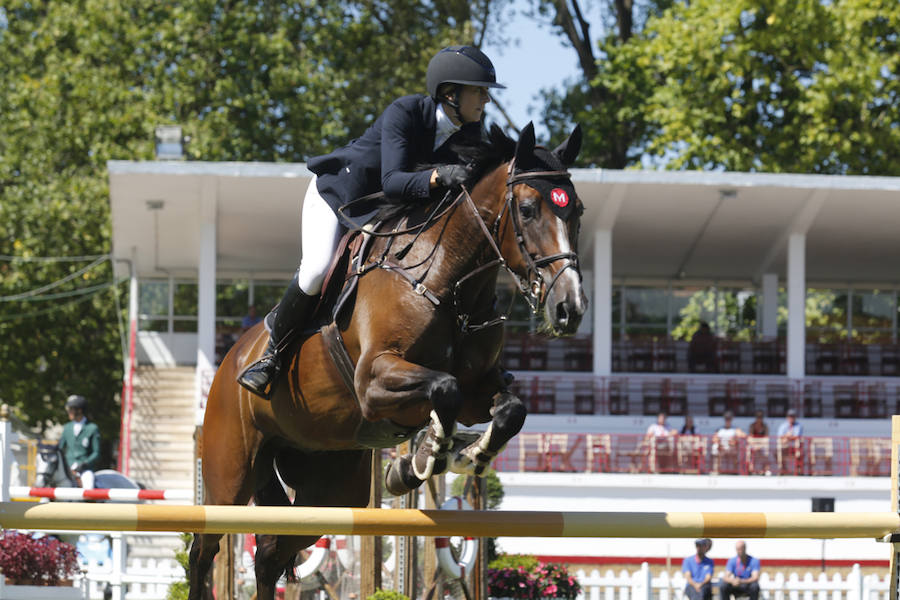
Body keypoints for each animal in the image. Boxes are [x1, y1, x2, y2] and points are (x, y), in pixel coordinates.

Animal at [186, 122, 588, 600]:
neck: (448, 282)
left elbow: (509, 408)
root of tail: (231, 359)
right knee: (203, 550)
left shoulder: (479, 390)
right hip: (228, 475)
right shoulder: (374, 381)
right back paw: (261, 370)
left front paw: (466, 454)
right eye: (527, 209)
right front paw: (421, 460)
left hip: (330, 490)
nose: (569, 309)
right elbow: (444, 388)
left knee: (270, 553)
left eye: (578, 211)